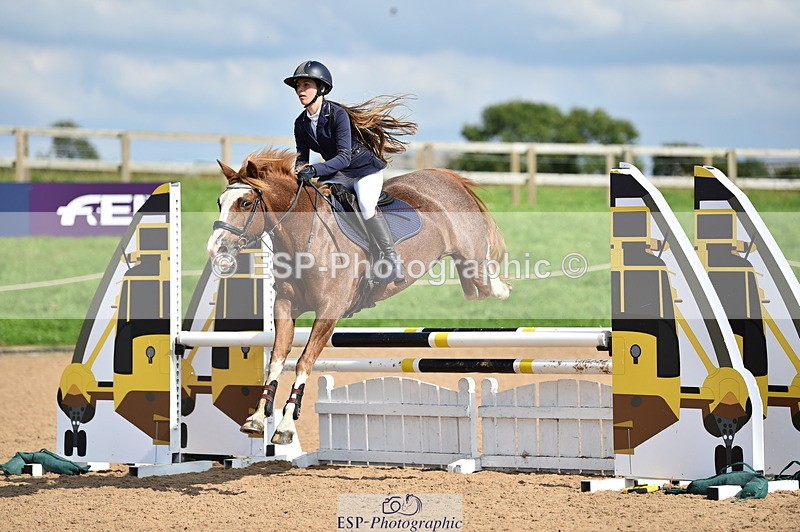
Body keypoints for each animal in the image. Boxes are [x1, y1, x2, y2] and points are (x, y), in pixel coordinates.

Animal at [207, 148, 511, 444]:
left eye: (245, 203)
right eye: (220, 202)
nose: (215, 248)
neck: (304, 238)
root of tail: (445, 177)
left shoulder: (329, 310)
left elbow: (304, 361)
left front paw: (284, 426)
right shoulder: (285, 306)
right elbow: (277, 360)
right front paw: (257, 419)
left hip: (471, 257)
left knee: (486, 279)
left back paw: (504, 288)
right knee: (474, 289)